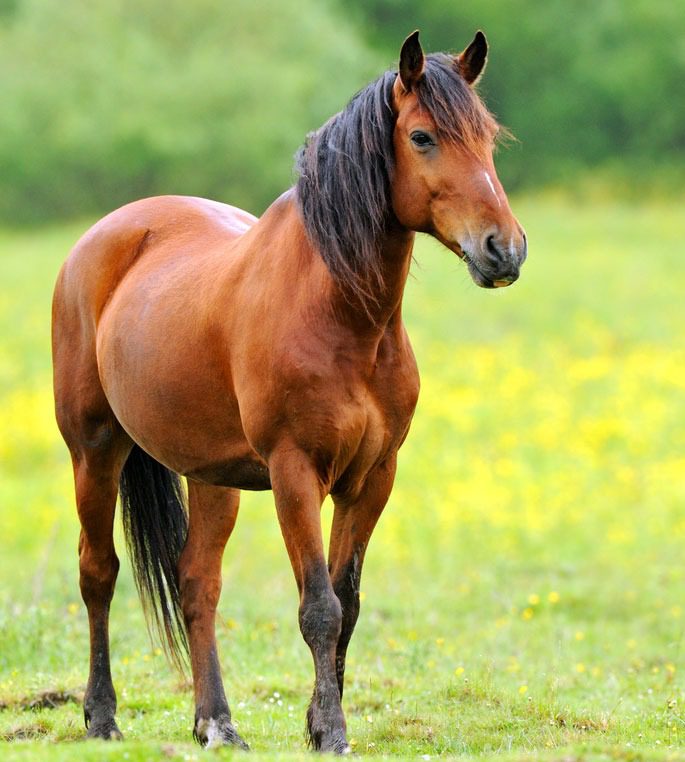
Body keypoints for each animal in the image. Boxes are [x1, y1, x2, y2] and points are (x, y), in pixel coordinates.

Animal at [51, 30, 526, 752]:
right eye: (422, 137)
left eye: (488, 138)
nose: (504, 250)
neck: (344, 318)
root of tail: (105, 236)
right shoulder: (295, 472)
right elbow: (319, 608)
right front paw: (330, 731)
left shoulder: (373, 477)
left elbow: (347, 601)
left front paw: (316, 722)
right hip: (95, 451)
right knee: (97, 572)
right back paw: (102, 717)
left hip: (210, 477)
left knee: (197, 583)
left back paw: (216, 724)